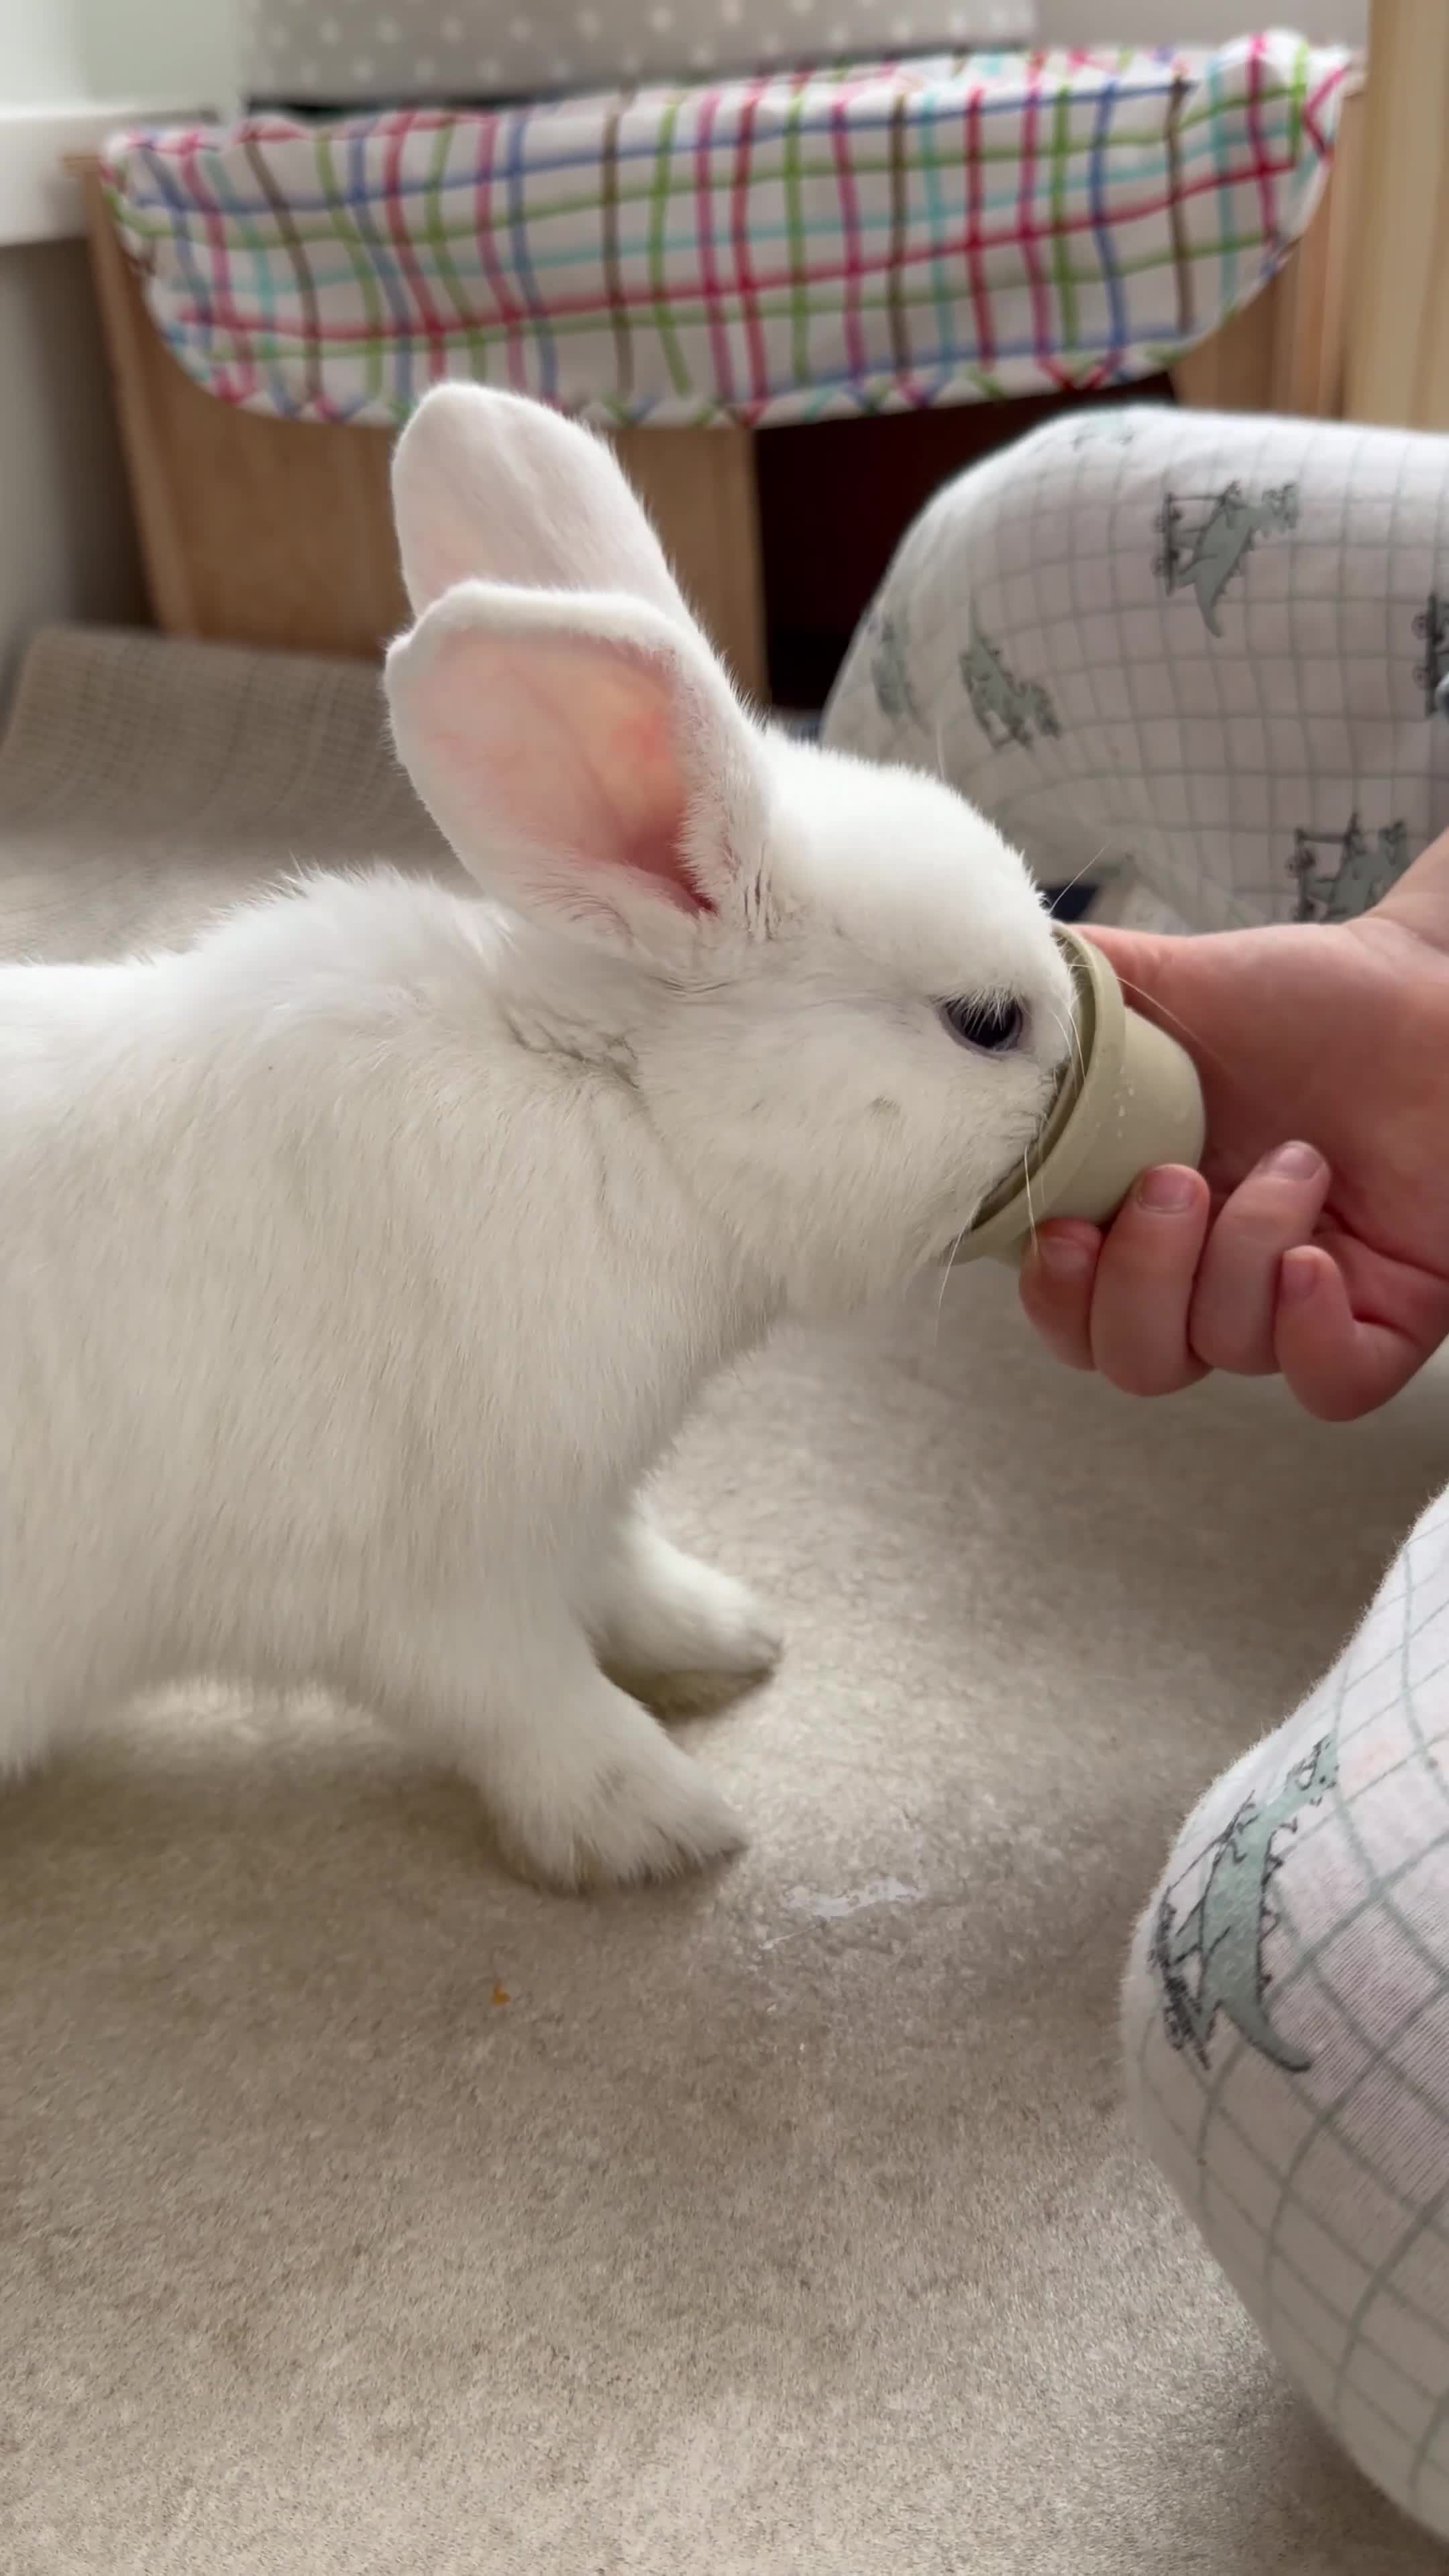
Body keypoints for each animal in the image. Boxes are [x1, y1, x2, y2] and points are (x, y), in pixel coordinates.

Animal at [0, 384, 1074, 1890]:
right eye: (983, 1023)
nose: (1083, 1051)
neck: (619, 1109)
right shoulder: (433, 1583)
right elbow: (535, 1701)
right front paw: (665, 1827)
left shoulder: (580, 1505)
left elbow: (623, 1575)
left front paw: (725, 1634)